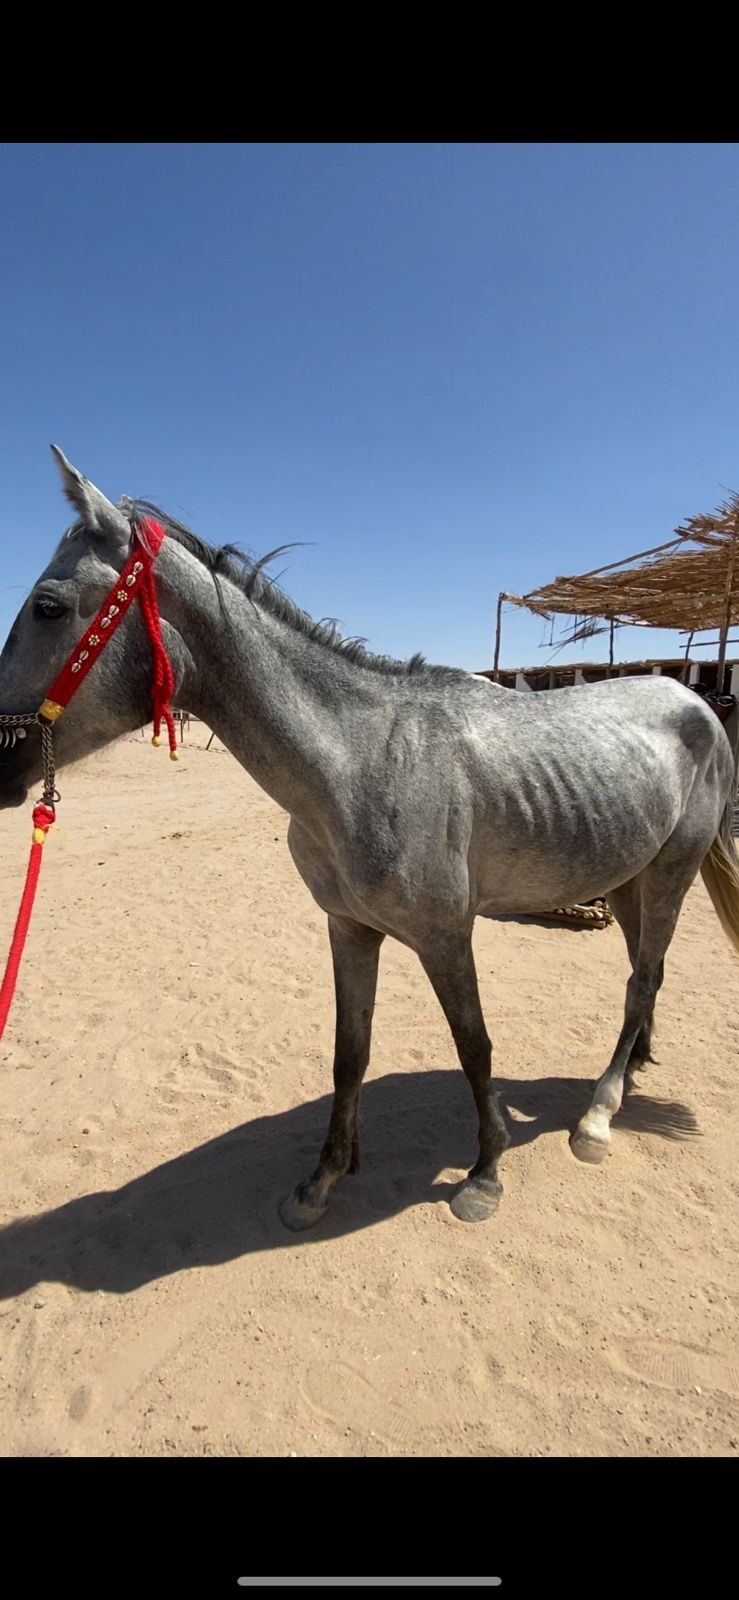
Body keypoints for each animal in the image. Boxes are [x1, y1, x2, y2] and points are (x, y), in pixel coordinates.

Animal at [0, 448, 737, 1230]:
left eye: (48, 605)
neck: (360, 762)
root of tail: (695, 701)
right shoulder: (348, 928)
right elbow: (348, 1053)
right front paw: (324, 1177)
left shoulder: (446, 937)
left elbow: (475, 1047)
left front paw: (484, 1173)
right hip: (628, 878)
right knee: (643, 976)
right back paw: (630, 1071)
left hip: (671, 872)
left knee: (642, 980)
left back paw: (598, 1116)